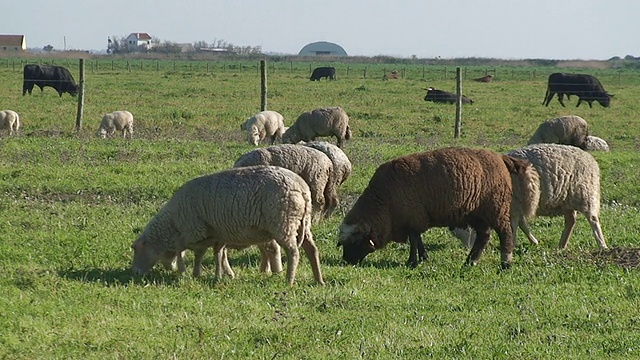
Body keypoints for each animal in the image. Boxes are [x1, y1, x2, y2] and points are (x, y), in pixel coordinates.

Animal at [133, 166, 328, 286]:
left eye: (136, 249)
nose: (135, 273)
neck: (172, 223)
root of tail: (302, 188)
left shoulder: (194, 230)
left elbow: (185, 249)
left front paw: (184, 270)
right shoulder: (213, 233)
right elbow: (212, 253)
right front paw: (215, 274)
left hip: (283, 223)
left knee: (293, 252)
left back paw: (289, 280)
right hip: (302, 223)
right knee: (312, 249)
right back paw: (318, 280)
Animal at [338, 147, 536, 270]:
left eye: (353, 243)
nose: (346, 262)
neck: (384, 205)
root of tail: (500, 157)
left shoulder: (413, 216)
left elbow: (413, 240)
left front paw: (412, 262)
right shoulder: (414, 218)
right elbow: (417, 239)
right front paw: (423, 258)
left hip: (496, 207)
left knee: (505, 233)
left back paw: (505, 263)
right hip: (477, 213)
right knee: (483, 236)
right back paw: (470, 262)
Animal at [452, 143, 608, 250]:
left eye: (468, 229)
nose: (468, 249)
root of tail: (590, 158)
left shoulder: (514, 205)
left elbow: (515, 225)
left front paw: (512, 244)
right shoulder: (518, 206)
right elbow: (523, 225)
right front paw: (533, 241)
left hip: (585, 194)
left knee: (593, 219)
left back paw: (602, 245)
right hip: (566, 200)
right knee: (571, 221)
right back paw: (561, 245)